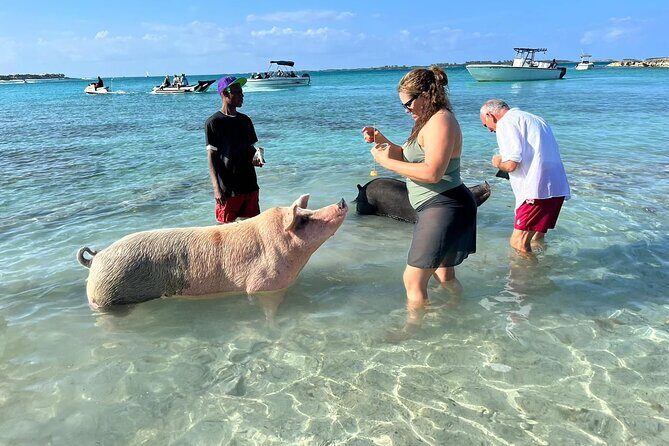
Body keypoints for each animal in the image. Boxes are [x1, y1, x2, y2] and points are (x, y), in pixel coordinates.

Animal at [77, 195, 347, 314]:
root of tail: (96, 259)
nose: (342, 201)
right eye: (303, 219)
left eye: (307, 210)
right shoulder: (263, 284)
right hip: (106, 293)